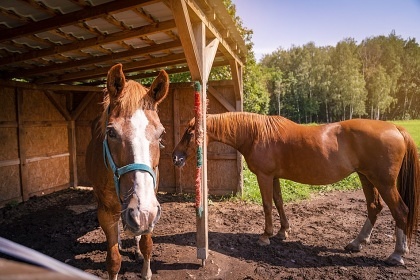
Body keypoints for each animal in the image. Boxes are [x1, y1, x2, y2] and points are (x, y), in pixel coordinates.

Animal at [85, 64, 169, 280]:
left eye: (161, 133)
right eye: (111, 133)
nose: (142, 212)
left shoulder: (150, 207)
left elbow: (147, 244)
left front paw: (146, 270)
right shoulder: (105, 212)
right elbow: (114, 261)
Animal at [171, 111, 420, 264]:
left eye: (190, 133)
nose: (176, 157)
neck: (255, 133)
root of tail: (394, 127)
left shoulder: (264, 176)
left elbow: (267, 205)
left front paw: (266, 235)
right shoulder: (274, 177)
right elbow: (279, 202)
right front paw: (283, 231)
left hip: (384, 182)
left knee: (400, 211)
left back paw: (397, 254)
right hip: (366, 177)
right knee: (374, 207)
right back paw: (357, 243)